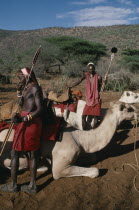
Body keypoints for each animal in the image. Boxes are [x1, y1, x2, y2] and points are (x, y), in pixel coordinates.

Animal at [0, 101, 138, 179]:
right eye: (129, 108)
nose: (138, 112)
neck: (79, 138)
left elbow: (92, 158)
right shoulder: (61, 165)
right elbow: (95, 171)